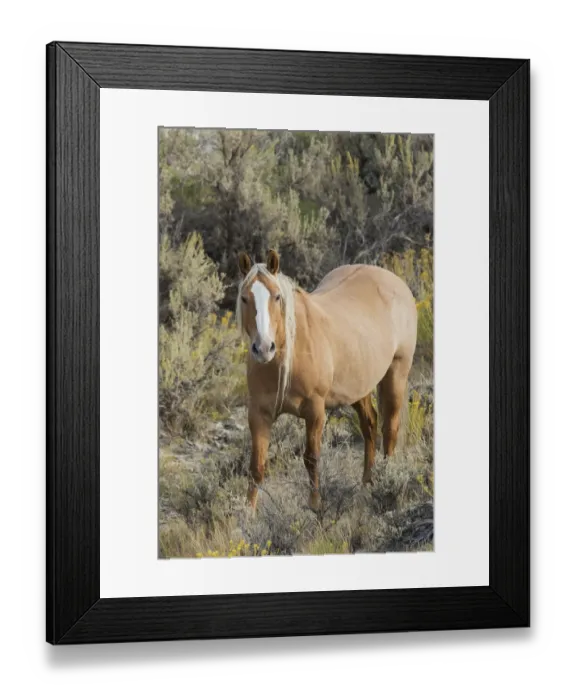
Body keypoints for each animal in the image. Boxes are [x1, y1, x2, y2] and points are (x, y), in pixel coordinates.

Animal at [236, 249, 418, 510]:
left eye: (277, 297)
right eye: (244, 298)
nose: (263, 348)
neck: (289, 355)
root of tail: (395, 281)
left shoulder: (315, 410)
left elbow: (311, 458)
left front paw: (315, 506)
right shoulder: (259, 413)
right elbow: (256, 467)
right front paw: (248, 513)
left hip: (396, 373)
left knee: (390, 429)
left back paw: (386, 480)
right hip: (359, 386)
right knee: (370, 425)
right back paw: (366, 486)